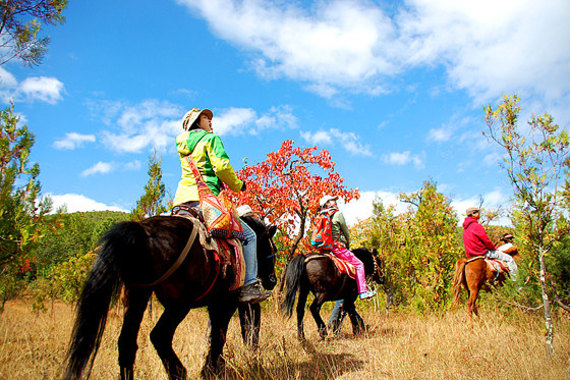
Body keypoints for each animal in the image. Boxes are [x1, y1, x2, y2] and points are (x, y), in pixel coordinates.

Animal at [63, 215, 276, 378]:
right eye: (271, 248)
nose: (272, 281)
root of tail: (142, 231)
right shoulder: (225, 303)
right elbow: (219, 336)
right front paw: (209, 370)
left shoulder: (216, 305)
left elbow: (218, 335)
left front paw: (215, 367)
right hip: (178, 305)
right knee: (159, 336)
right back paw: (179, 372)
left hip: (137, 297)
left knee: (126, 344)